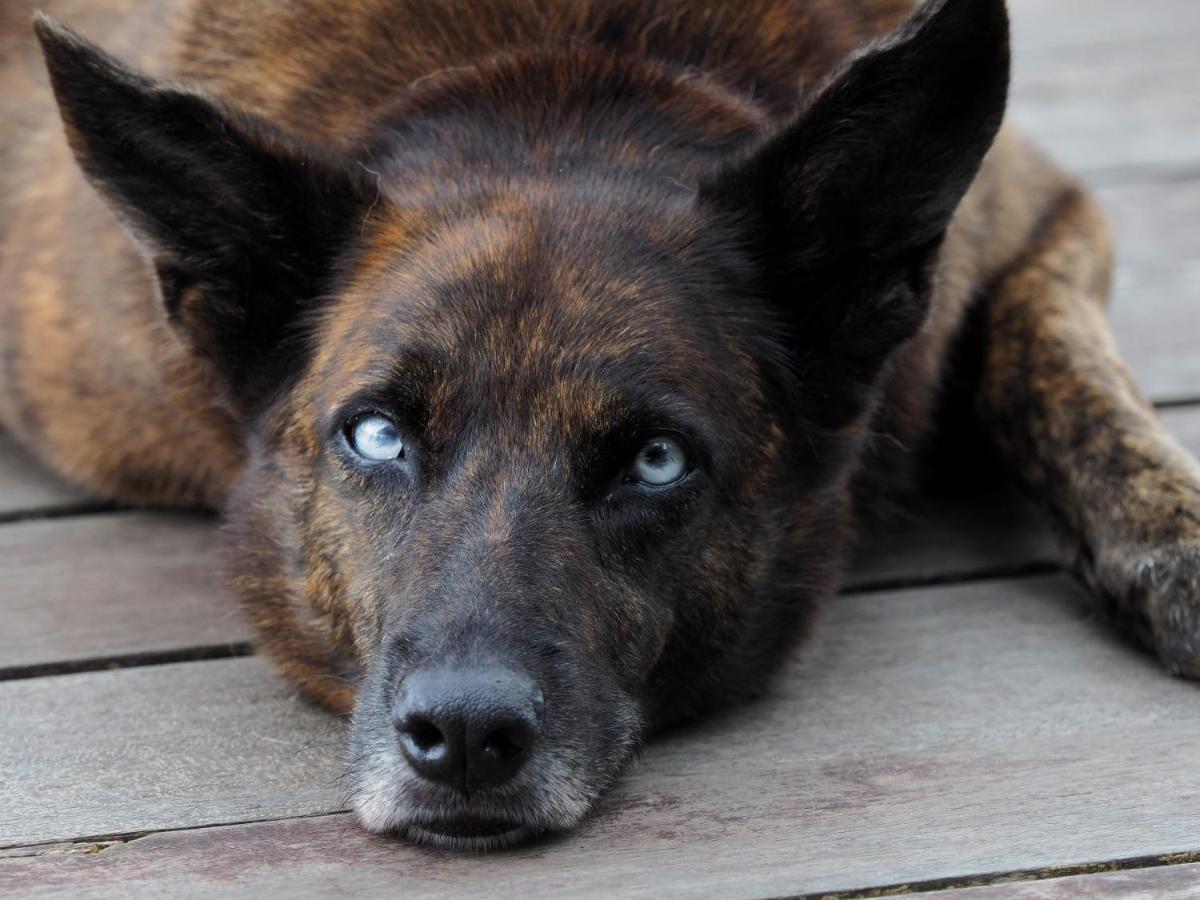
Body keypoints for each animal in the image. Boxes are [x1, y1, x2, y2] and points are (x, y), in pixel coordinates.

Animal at [2, 0, 1200, 854]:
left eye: (656, 461)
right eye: (376, 437)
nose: (465, 737)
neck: (556, 78)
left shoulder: (1047, 209)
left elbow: (1046, 354)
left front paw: (1177, 549)